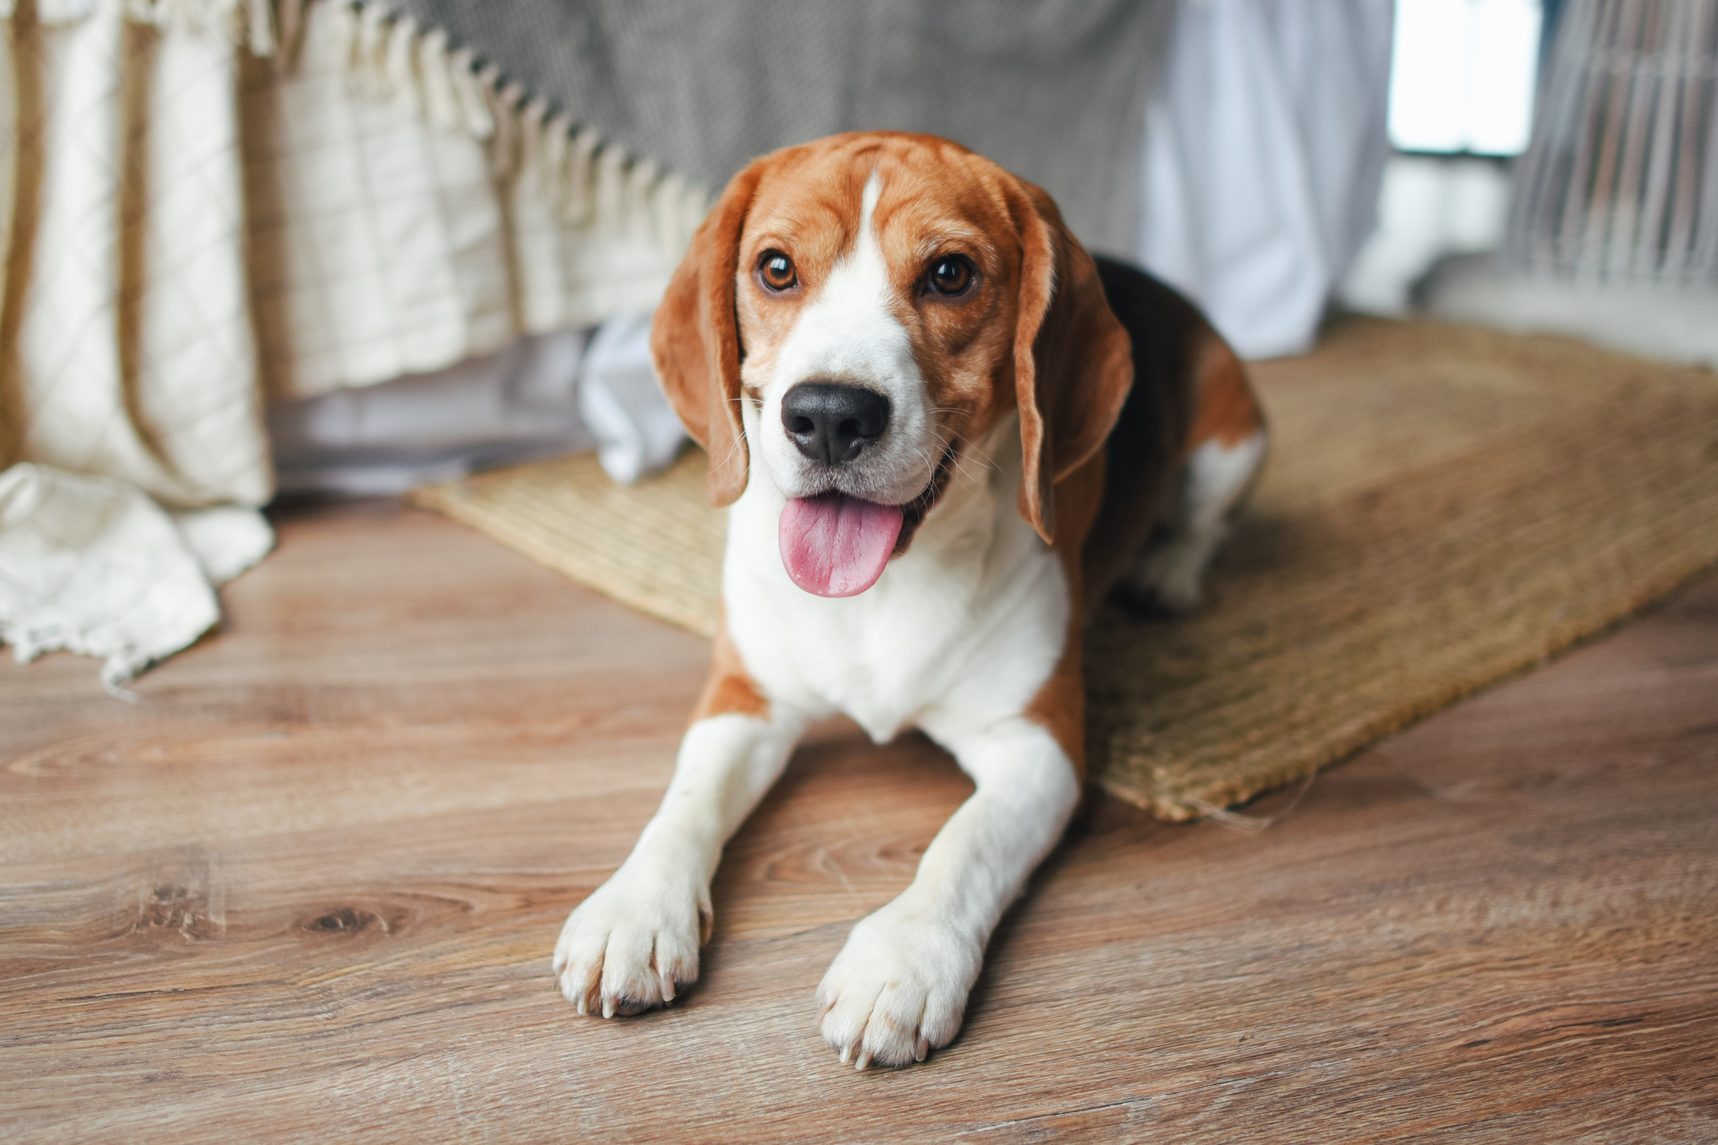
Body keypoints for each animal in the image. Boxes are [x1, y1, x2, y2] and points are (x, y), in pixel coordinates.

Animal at [549, 134, 1264, 1072]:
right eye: (775, 268)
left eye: (951, 274)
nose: (828, 414)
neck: (884, 586)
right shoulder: (745, 698)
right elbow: (687, 798)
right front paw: (635, 907)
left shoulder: (1039, 744)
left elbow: (964, 843)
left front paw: (904, 960)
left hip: (1233, 442)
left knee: (1206, 523)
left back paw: (1170, 570)